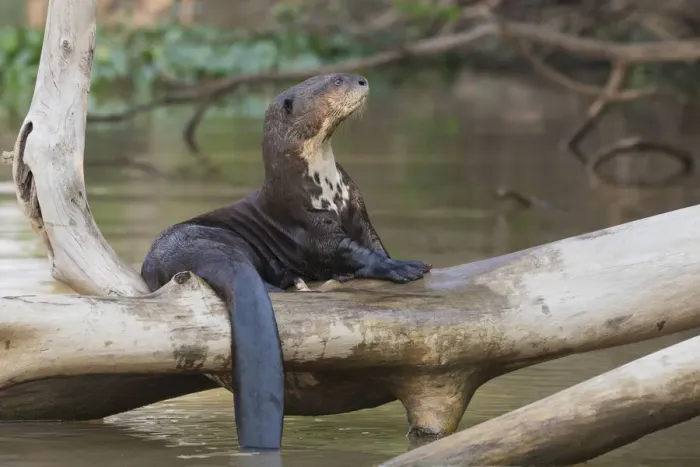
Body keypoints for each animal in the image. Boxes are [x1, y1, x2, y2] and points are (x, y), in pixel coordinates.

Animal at [140, 74, 432, 451]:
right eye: (337, 81)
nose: (362, 80)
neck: (326, 187)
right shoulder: (313, 228)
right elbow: (354, 253)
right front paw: (403, 268)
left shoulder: (359, 210)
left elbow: (375, 244)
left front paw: (391, 260)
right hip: (227, 242)